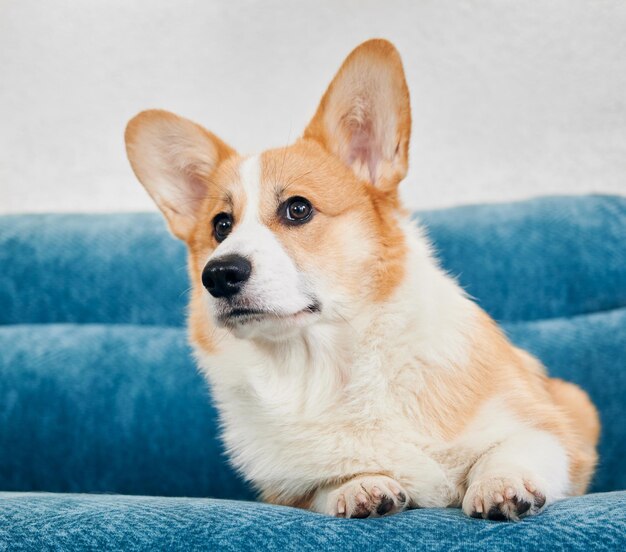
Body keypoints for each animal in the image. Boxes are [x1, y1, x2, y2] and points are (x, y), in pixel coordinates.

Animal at [124, 40, 596, 520]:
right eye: (220, 226)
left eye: (298, 208)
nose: (218, 274)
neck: (323, 367)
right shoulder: (288, 489)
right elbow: (330, 482)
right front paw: (361, 486)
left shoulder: (554, 430)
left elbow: (514, 448)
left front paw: (501, 483)